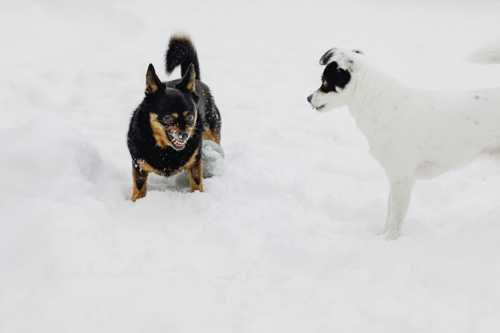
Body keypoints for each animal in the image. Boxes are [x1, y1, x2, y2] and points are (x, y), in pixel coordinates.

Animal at [128, 34, 222, 200]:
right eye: (168, 119)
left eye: (190, 117)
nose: (184, 135)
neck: (166, 150)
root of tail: (197, 80)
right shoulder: (139, 165)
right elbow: (138, 189)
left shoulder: (195, 162)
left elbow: (197, 183)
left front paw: (197, 196)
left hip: (213, 133)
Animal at [306, 48, 500, 237]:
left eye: (325, 83)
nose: (308, 98)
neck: (377, 103)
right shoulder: (394, 177)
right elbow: (389, 210)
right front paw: (381, 237)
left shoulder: (402, 178)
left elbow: (395, 217)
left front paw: (390, 240)